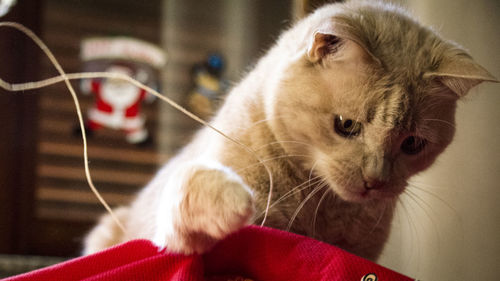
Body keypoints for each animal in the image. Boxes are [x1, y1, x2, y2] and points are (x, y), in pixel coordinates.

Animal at [82, 0, 496, 260]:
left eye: (412, 144)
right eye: (346, 126)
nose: (374, 181)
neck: (322, 205)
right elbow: (198, 192)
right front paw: (233, 201)